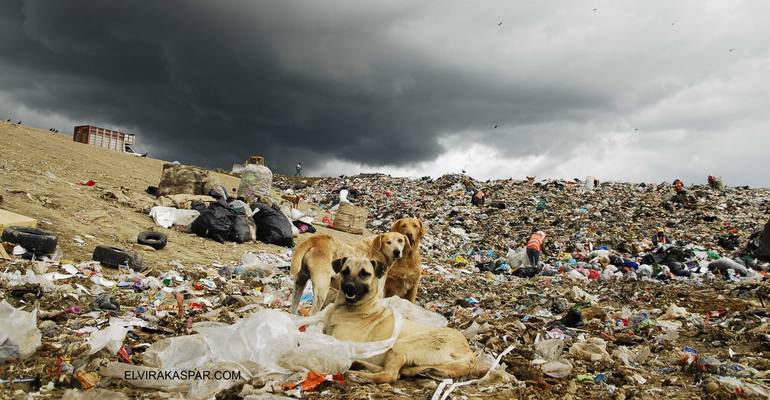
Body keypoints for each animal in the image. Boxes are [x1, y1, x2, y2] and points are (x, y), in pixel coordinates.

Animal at [320, 258, 474, 382]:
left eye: (364, 274)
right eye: (345, 271)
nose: (349, 287)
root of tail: (468, 352)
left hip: (401, 344)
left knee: (390, 375)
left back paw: (358, 375)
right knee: (394, 372)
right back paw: (359, 365)